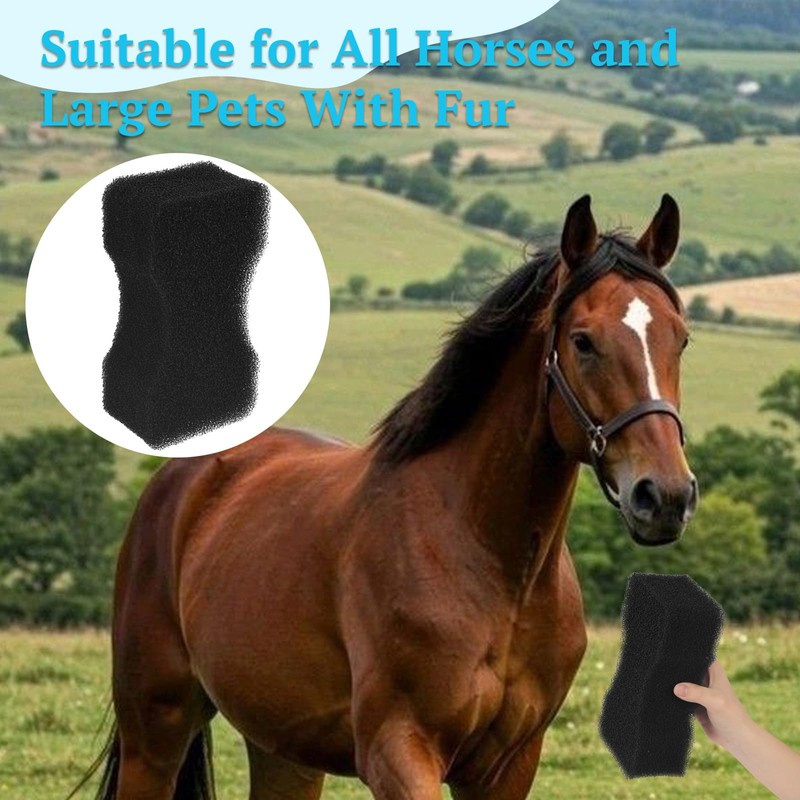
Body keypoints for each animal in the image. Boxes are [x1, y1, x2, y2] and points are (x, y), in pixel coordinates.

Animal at [79, 193, 698, 800]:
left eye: (681, 337)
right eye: (583, 341)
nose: (664, 495)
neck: (491, 562)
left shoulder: (507, 767)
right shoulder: (398, 750)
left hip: (284, 750)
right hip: (156, 731)